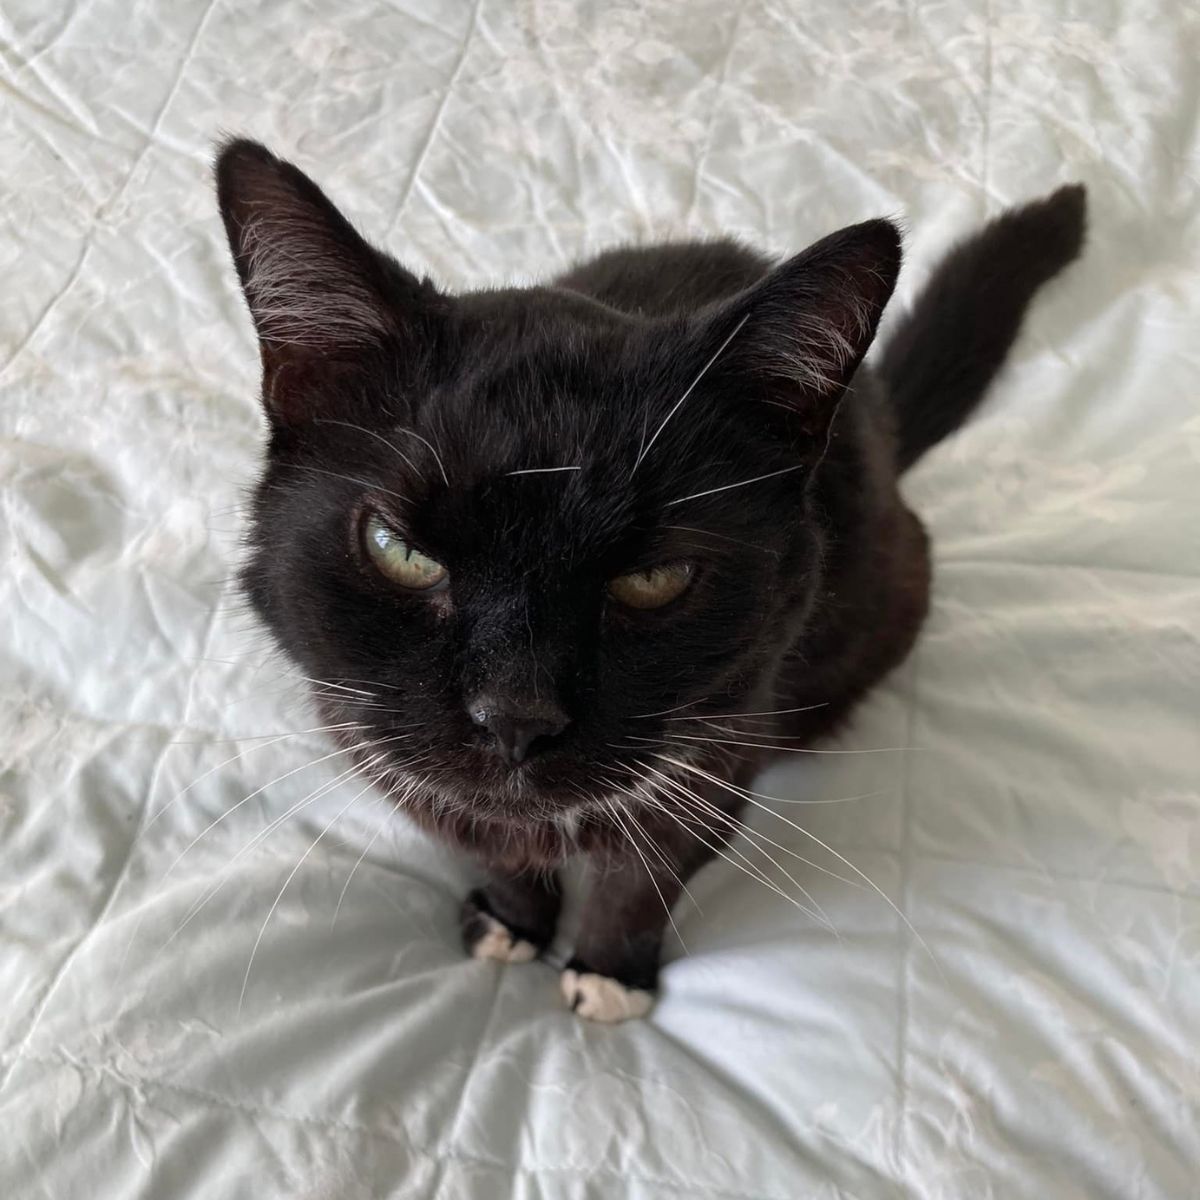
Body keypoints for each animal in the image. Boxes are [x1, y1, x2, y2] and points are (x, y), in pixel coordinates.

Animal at [216, 140, 1089, 1022]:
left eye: (655, 578)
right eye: (399, 551)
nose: (515, 715)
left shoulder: (719, 748)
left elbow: (645, 873)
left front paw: (608, 971)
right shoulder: (380, 744)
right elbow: (489, 841)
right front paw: (512, 918)